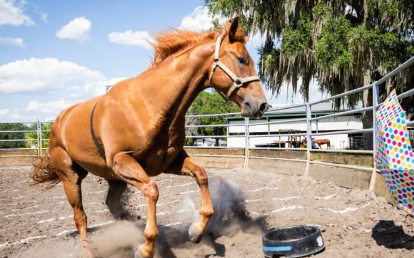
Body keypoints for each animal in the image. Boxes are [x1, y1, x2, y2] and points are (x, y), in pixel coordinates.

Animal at [30, 17, 266, 256]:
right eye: (242, 59)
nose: (261, 104)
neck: (147, 106)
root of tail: (59, 121)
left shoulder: (169, 161)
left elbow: (201, 176)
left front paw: (196, 232)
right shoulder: (123, 161)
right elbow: (152, 191)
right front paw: (146, 248)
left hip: (115, 180)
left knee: (112, 205)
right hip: (71, 177)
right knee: (80, 217)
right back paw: (93, 250)